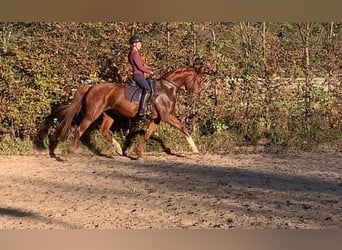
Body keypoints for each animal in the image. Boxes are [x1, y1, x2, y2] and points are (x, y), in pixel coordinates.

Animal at [54, 67, 202, 157]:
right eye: (199, 81)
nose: (197, 96)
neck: (167, 89)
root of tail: (91, 87)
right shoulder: (166, 116)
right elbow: (183, 127)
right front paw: (195, 149)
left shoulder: (156, 118)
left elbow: (147, 134)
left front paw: (138, 152)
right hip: (92, 114)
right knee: (80, 130)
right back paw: (70, 152)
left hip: (109, 115)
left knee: (104, 131)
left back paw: (119, 149)